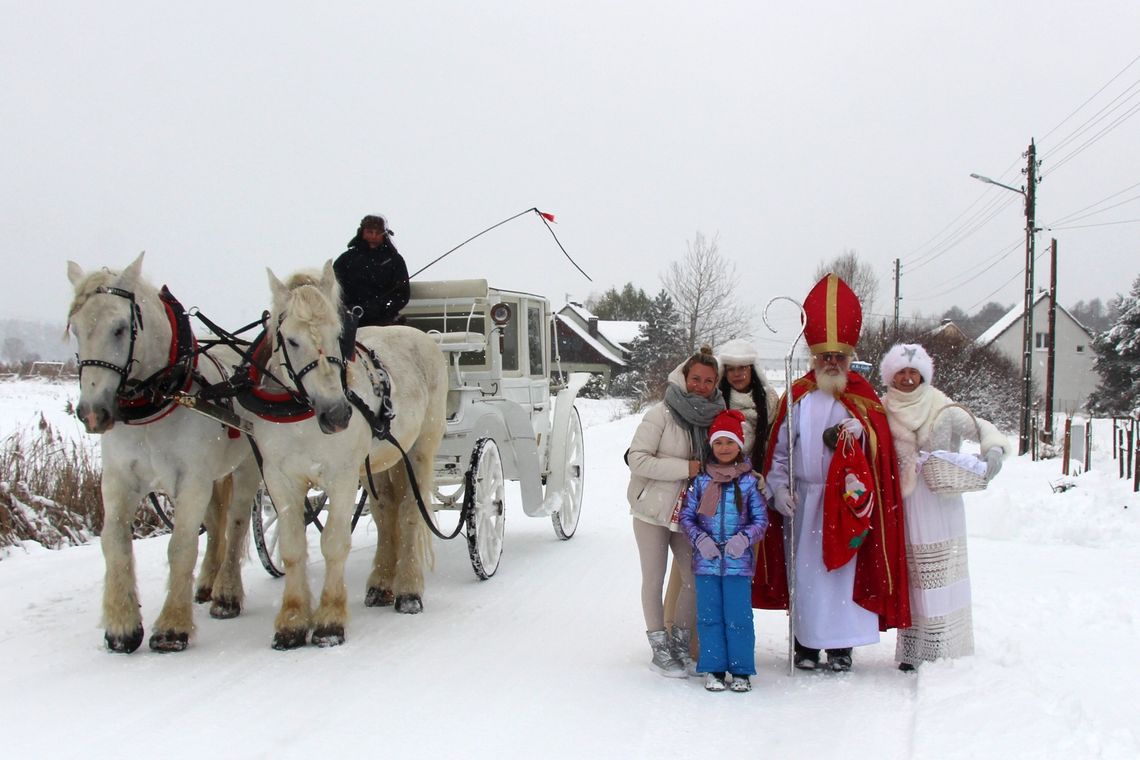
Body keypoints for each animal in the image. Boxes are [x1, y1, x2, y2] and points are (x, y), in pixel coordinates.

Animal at [68, 254, 261, 656]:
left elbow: (181, 545)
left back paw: (226, 594)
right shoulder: (120, 480)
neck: (159, 398)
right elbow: (114, 542)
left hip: (247, 466)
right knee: (216, 524)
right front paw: (122, 626)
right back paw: (206, 583)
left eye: (120, 328)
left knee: (235, 522)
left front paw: (172, 627)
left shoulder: (192, 480)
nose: (93, 413)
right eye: (75, 329)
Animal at [251, 262, 446, 647]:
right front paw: (292, 621)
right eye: (291, 340)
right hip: (378, 462)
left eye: (338, 334)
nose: (338, 414)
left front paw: (329, 620)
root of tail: (421, 336)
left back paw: (408, 590)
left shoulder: (340, 476)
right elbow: (292, 548)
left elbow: (334, 543)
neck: (301, 415)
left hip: (420, 449)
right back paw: (381, 583)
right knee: (387, 513)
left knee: (408, 514)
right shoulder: (279, 479)